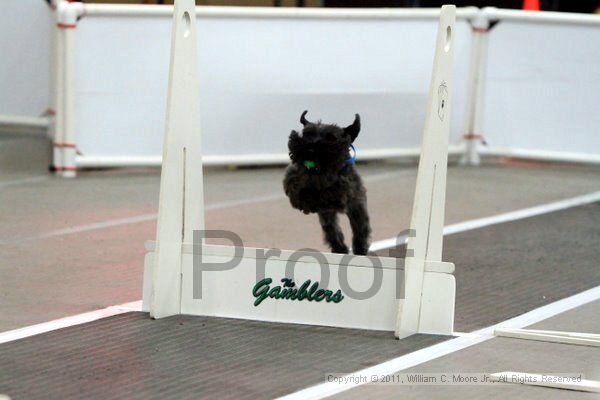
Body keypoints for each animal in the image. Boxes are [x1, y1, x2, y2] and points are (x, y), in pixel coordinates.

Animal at [282, 111, 370, 255]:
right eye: (307, 134)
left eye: (331, 138)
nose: (310, 147)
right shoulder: (292, 178)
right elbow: (297, 189)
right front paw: (305, 200)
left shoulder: (342, 192)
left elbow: (327, 192)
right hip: (328, 218)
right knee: (333, 232)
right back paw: (340, 248)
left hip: (357, 210)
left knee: (360, 230)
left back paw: (360, 249)